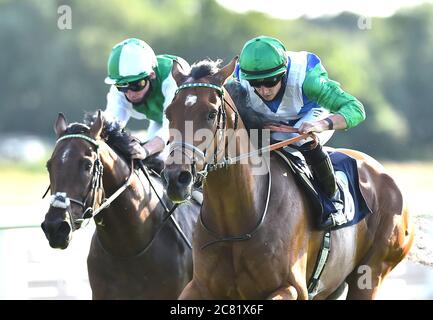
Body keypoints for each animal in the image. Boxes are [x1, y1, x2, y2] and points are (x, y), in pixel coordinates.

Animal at [161, 58, 412, 300]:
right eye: (168, 113)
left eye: (211, 113)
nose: (176, 178)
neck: (235, 223)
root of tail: (382, 173)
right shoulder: (200, 287)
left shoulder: (292, 288)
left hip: (371, 274)